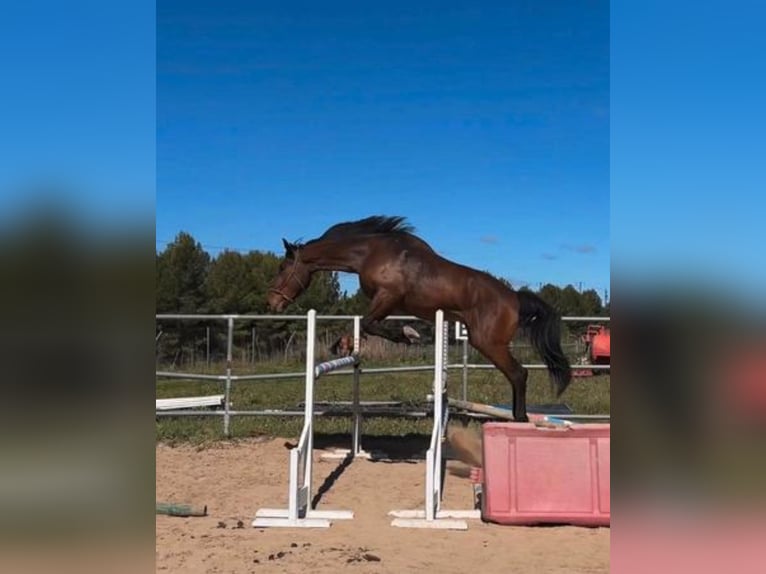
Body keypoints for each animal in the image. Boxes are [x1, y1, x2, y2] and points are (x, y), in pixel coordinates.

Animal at [267, 215, 571, 422]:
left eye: (282, 267)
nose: (272, 302)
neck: (369, 252)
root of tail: (514, 298)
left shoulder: (388, 296)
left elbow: (369, 324)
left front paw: (407, 335)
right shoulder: (386, 302)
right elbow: (367, 325)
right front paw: (344, 345)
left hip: (489, 343)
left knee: (519, 374)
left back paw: (520, 420)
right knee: (516, 375)